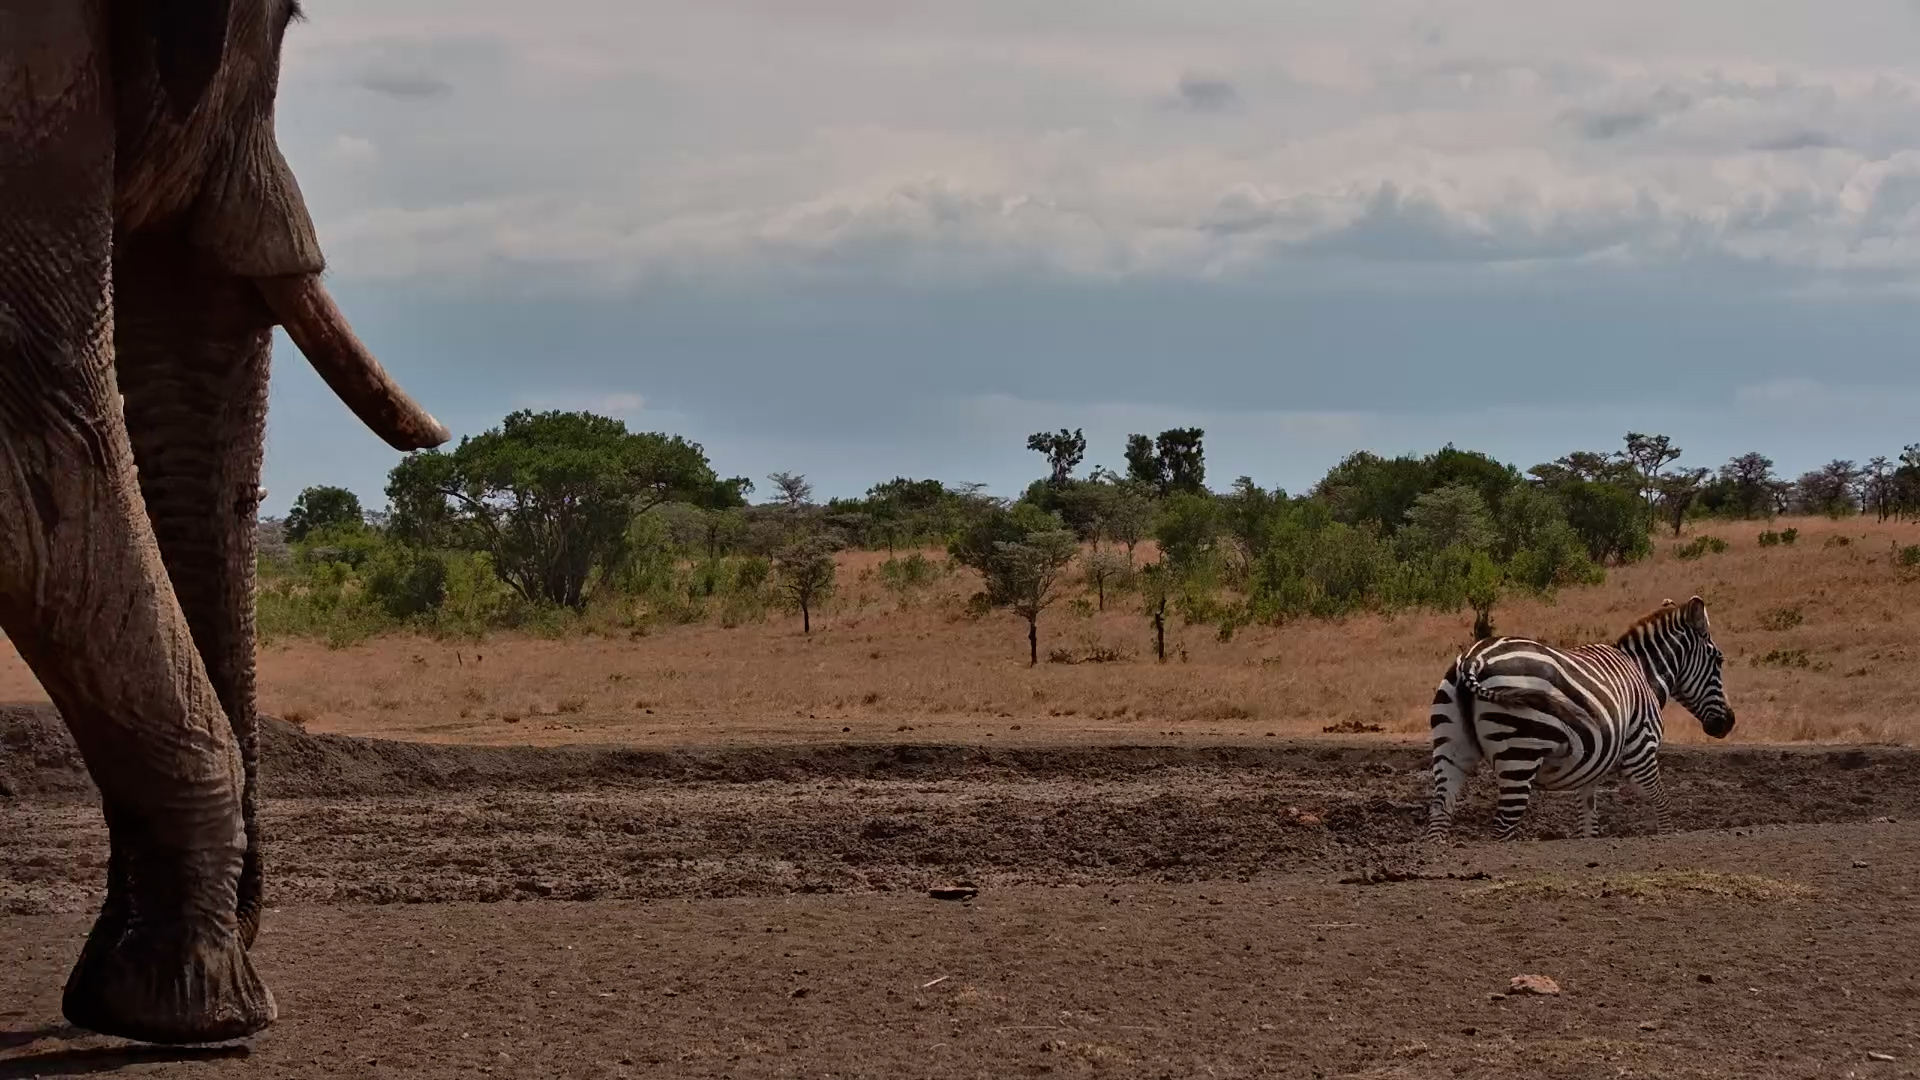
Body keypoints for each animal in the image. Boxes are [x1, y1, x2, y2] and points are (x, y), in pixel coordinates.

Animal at [1424, 596, 1735, 843]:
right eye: (1719, 660)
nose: (1728, 723)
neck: (1644, 673)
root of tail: (1473, 660)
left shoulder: (1589, 771)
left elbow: (1588, 826)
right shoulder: (1641, 753)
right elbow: (1663, 803)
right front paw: (1665, 837)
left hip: (1451, 748)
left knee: (1439, 814)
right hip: (1520, 753)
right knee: (1502, 828)